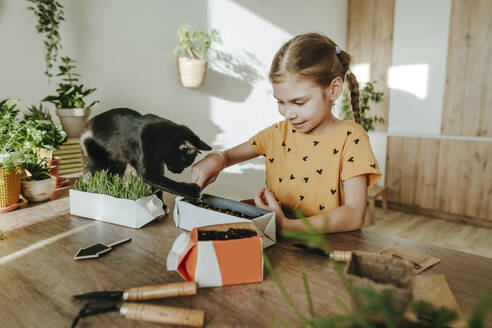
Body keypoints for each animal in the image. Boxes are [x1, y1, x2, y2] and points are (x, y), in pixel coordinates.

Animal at [80, 109, 211, 199]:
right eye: (183, 163)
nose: (178, 172)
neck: (160, 137)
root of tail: (86, 127)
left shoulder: (159, 166)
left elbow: (159, 187)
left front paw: (161, 206)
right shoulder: (148, 171)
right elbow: (168, 183)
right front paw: (192, 190)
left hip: (118, 165)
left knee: (111, 177)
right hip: (97, 163)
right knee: (96, 177)